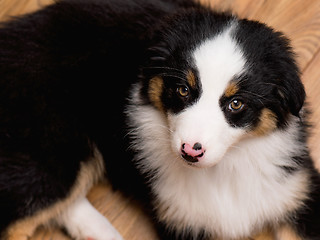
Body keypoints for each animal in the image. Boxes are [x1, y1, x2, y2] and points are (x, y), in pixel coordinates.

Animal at [0, 0, 320, 239]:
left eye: (236, 103)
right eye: (183, 89)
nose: (190, 151)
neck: (224, 168)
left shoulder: (300, 193)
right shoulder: (182, 221)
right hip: (53, 148)